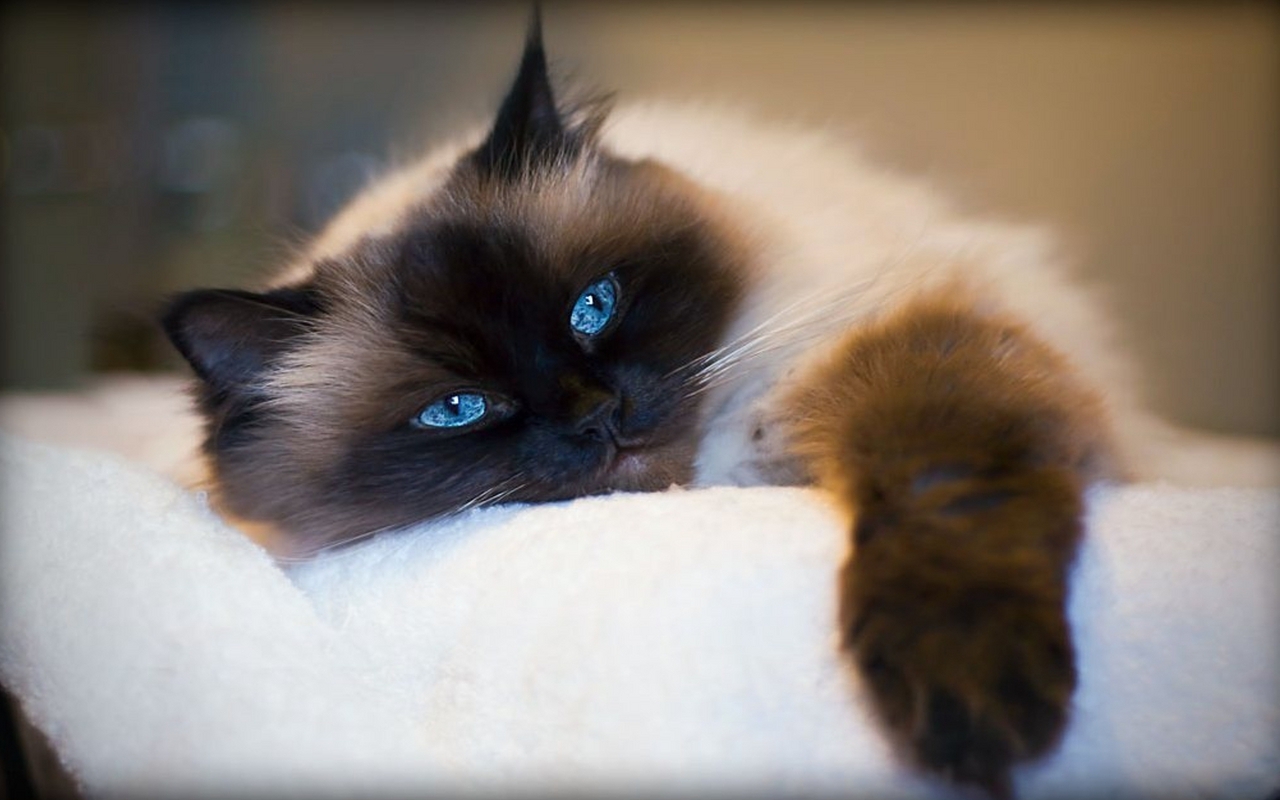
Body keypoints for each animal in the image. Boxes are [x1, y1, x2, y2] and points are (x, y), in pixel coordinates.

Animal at [152, 12, 1152, 798]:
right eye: (460, 408)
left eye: (593, 307)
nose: (595, 412)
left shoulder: (911, 347)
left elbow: (941, 494)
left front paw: (968, 698)